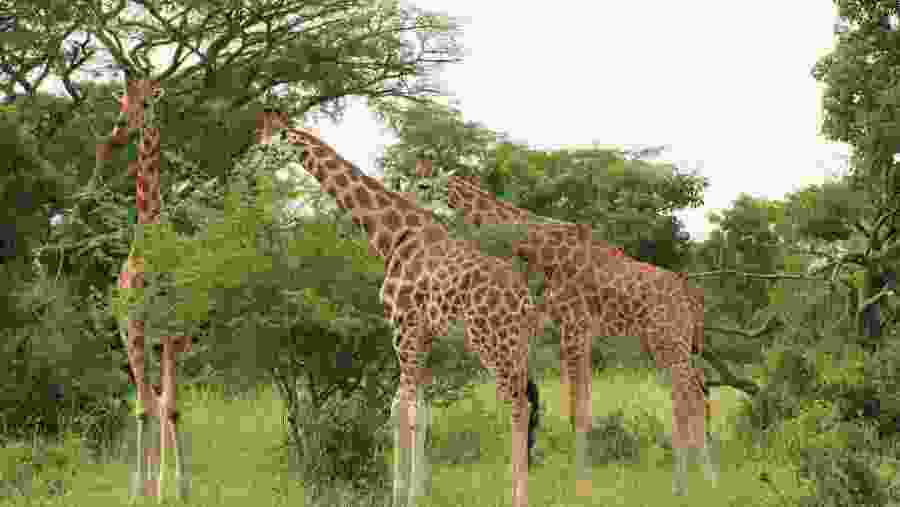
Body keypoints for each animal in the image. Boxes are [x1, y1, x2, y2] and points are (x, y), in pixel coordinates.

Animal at [257, 110, 536, 507]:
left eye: (267, 147)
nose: (249, 170)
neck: (391, 238)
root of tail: (525, 299)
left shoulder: (402, 325)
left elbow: (405, 411)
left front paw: (403, 495)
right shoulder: (425, 335)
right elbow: (417, 409)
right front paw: (414, 490)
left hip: (492, 341)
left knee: (518, 405)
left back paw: (518, 496)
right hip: (517, 344)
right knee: (524, 403)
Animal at [443, 172, 716, 495]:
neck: (544, 252)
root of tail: (692, 297)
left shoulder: (572, 327)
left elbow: (577, 409)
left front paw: (579, 484)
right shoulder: (581, 333)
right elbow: (584, 403)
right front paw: (583, 480)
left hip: (670, 341)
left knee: (692, 395)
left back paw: (701, 483)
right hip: (669, 344)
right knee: (690, 394)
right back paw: (694, 482)